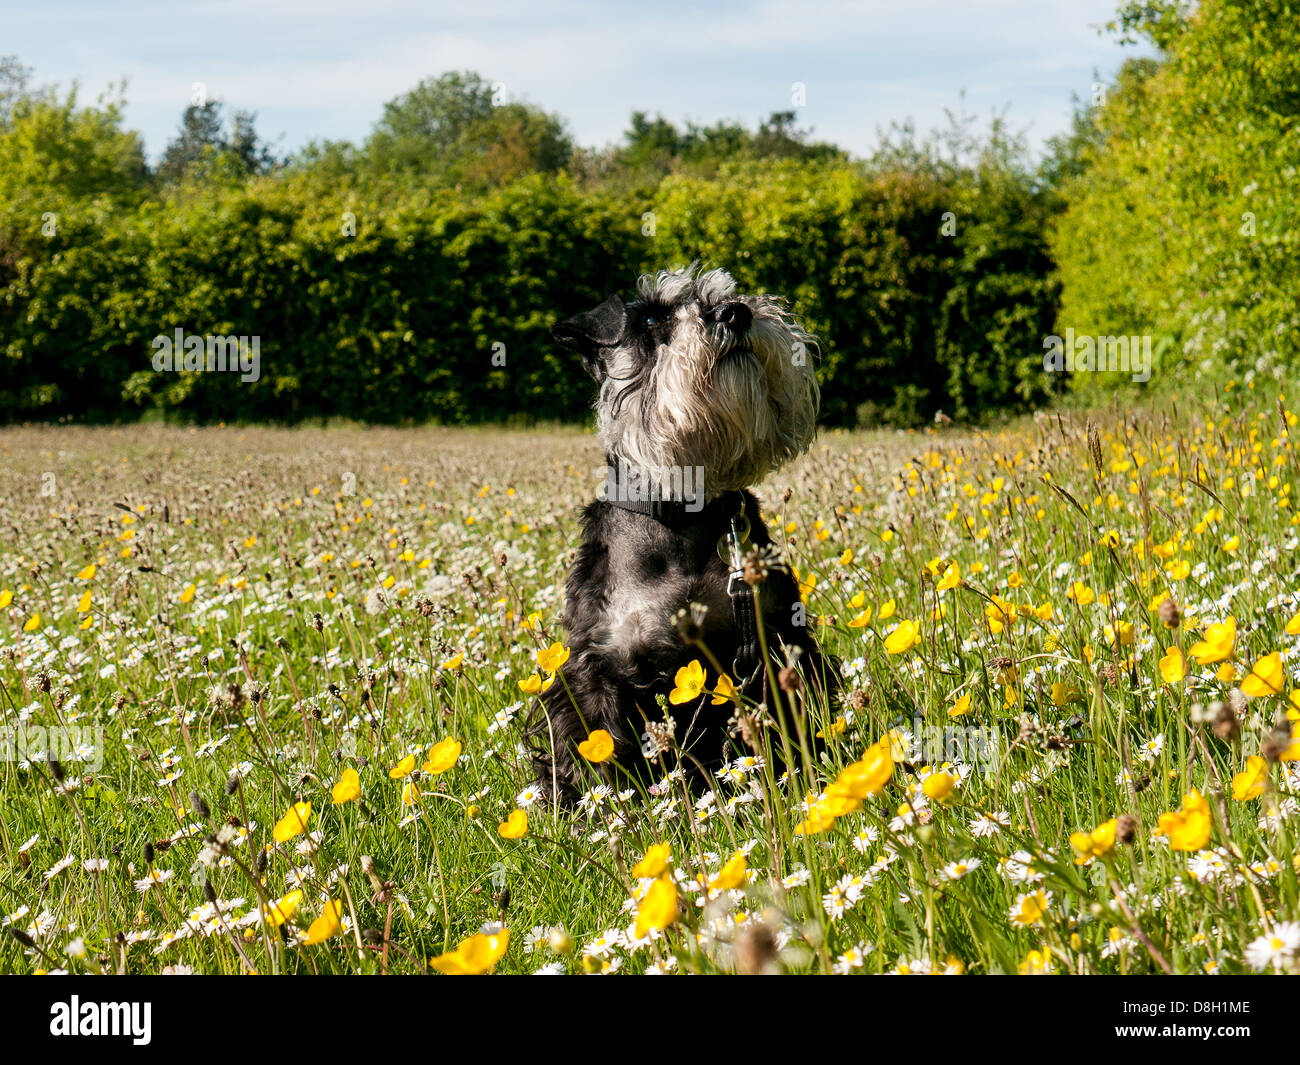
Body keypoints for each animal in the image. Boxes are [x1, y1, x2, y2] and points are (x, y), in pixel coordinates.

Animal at [522, 269, 837, 806]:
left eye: (724, 291)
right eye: (650, 319)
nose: (735, 312)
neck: (682, 518)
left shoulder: (781, 639)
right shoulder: (597, 676)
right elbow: (600, 758)